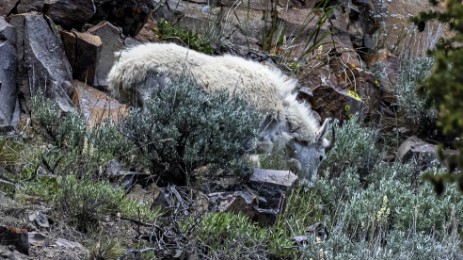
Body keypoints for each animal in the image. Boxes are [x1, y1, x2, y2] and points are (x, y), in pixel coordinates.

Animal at [107, 42, 336, 186]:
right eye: (321, 157)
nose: (309, 184)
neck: (284, 115)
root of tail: (123, 69)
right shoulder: (246, 139)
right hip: (153, 105)